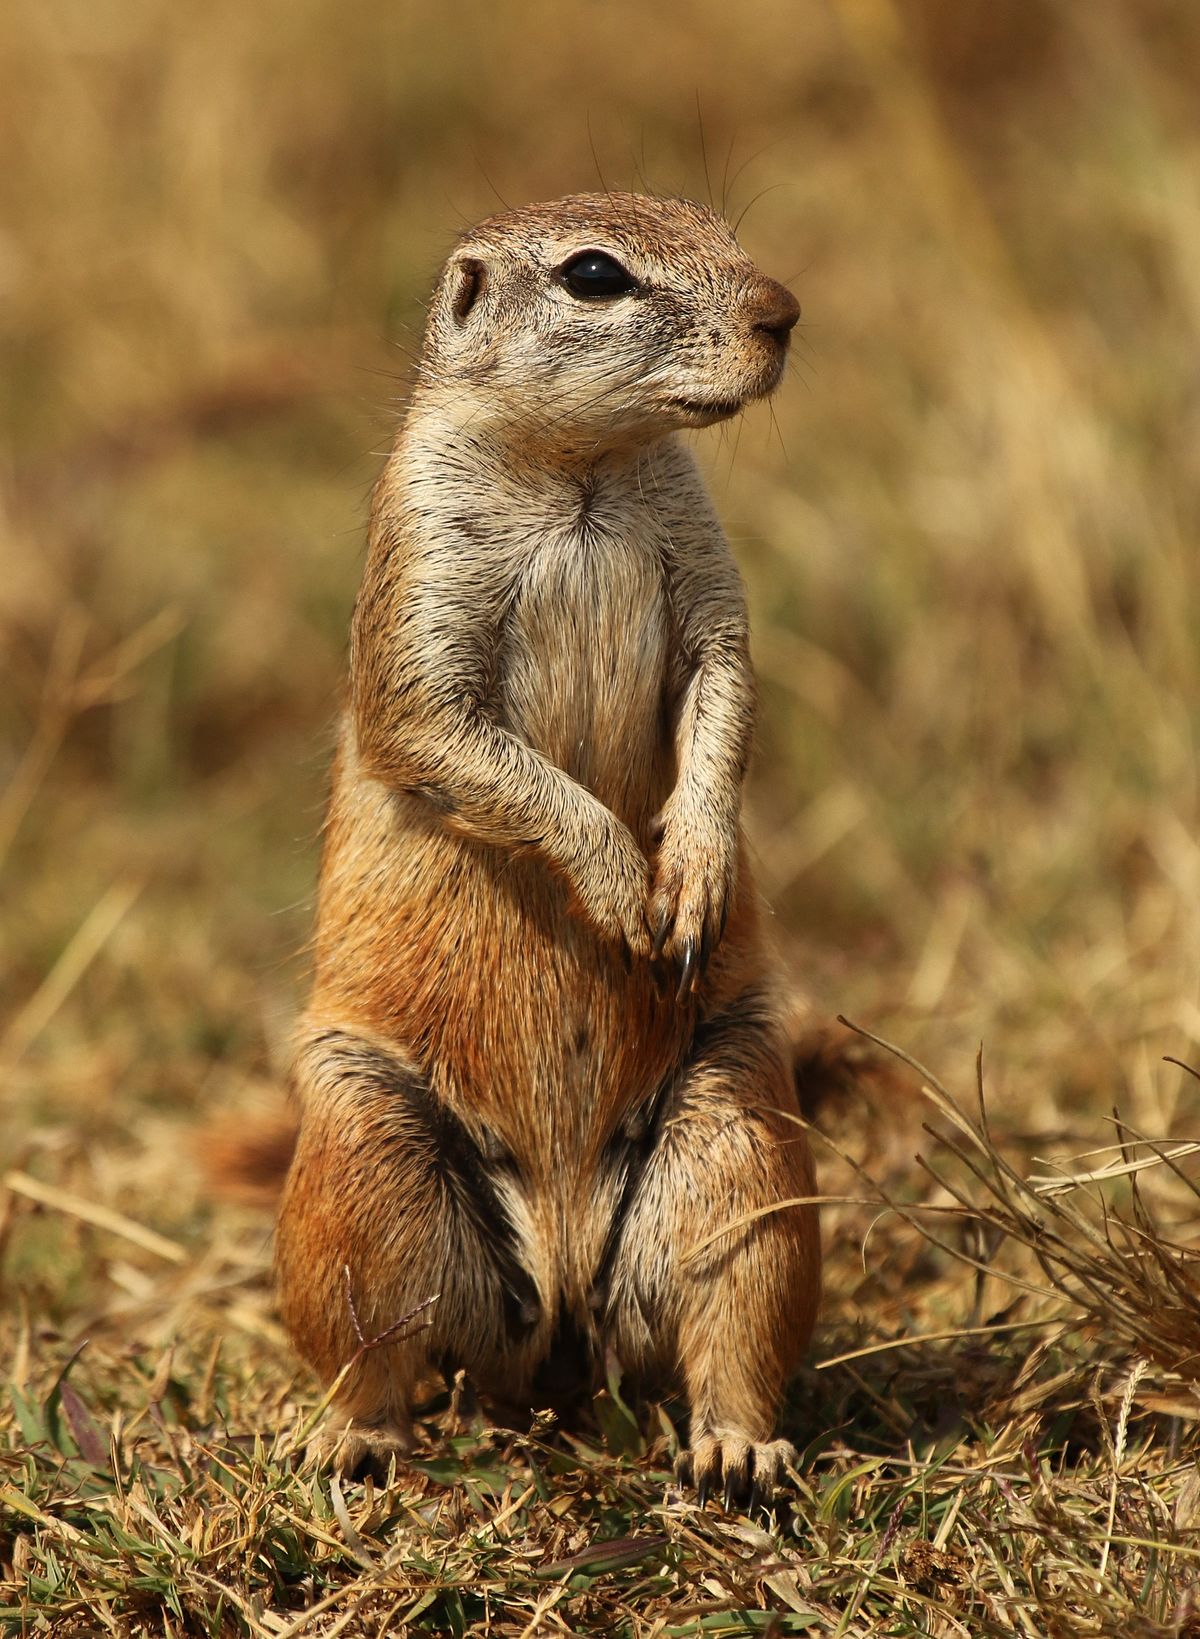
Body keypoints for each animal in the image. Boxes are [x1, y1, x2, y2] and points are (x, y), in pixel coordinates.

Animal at [273, 191, 819, 1507]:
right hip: (361, 1153)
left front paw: (694, 871)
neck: (584, 470)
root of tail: (567, 1304)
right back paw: (348, 1439)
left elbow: (726, 682)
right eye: (594, 275)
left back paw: (736, 1448)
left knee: (734, 1315)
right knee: (372, 1348)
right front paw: (623, 882)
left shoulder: (707, 567)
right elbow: (447, 730)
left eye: (725, 226)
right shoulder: (420, 564)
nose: (783, 312)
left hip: (738, 1133)